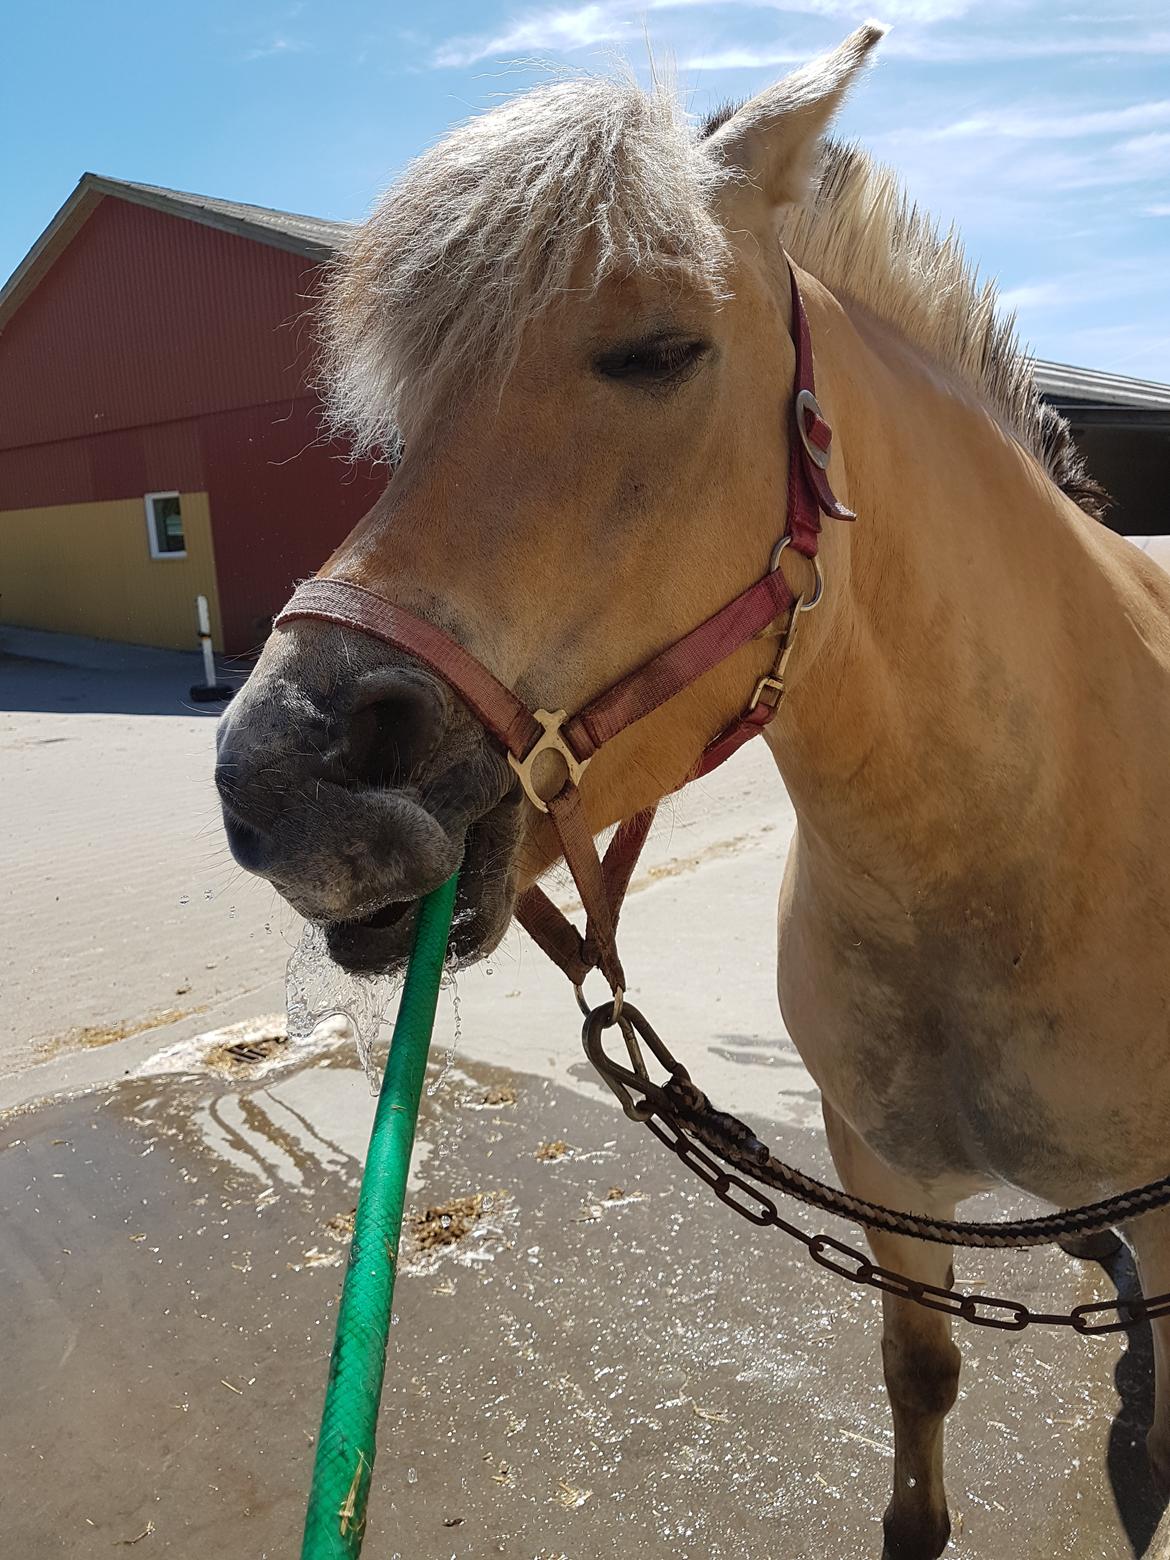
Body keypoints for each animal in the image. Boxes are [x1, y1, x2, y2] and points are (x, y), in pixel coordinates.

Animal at [215, 27, 1170, 1560]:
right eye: (410, 412)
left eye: (660, 351)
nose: (278, 773)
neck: (1017, 854)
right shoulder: (880, 1178)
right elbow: (920, 1379)